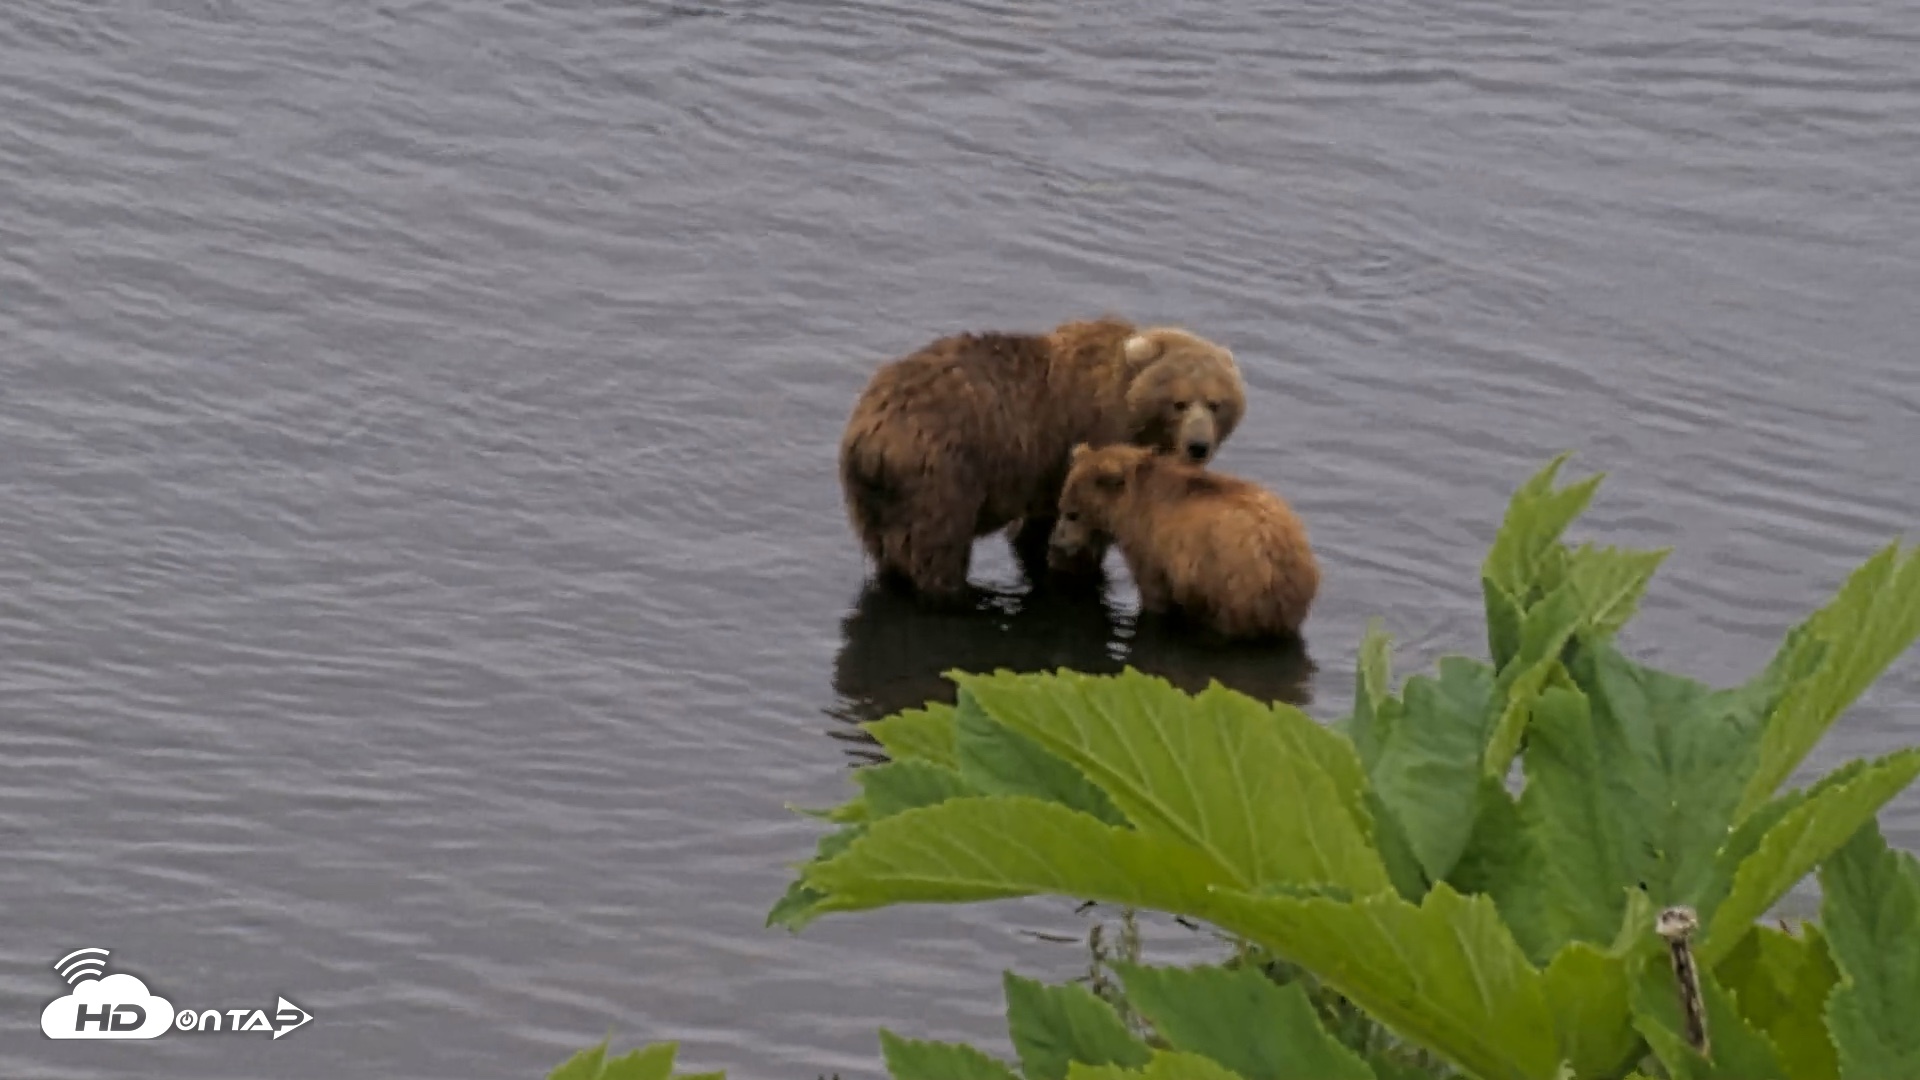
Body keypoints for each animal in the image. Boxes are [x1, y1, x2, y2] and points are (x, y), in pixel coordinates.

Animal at [838, 315, 1245, 603]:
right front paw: (1078, 570)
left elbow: (1037, 527)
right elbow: (1083, 528)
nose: (1198, 445)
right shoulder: (1092, 434)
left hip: (872, 497)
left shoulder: (1047, 473)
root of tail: (870, 434)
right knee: (935, 547)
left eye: (1216, 403)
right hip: (941, 472)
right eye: (1179, 402)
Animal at [1047, 442, 1319, 641]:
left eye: (1072, 514)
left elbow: (1154, 594)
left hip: (1230, 585)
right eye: (1062, 507)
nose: (1055, 542)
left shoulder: (1151, 547)